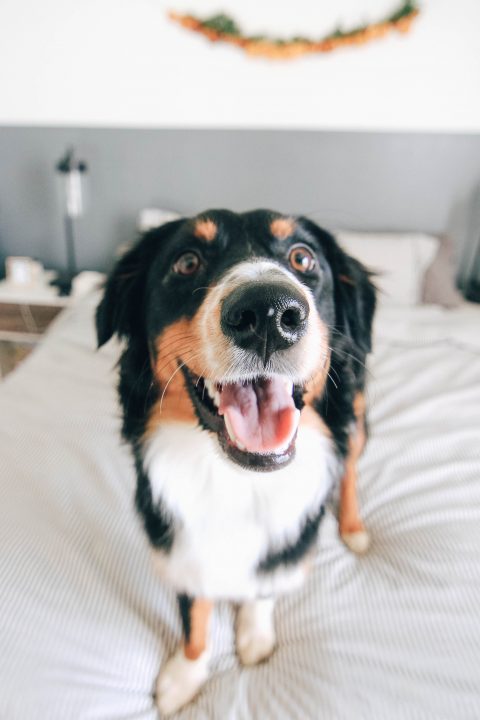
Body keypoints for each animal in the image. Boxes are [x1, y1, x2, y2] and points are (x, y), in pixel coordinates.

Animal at [96, 208, 376, 716]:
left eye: (302, 258)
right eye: (187, 262)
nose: (268, 313)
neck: (235, 479)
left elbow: (262, 585)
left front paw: (254, 635)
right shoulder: (179, 544)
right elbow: (194, 615)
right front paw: (186, 675)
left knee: (349, 465)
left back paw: (353, 528)